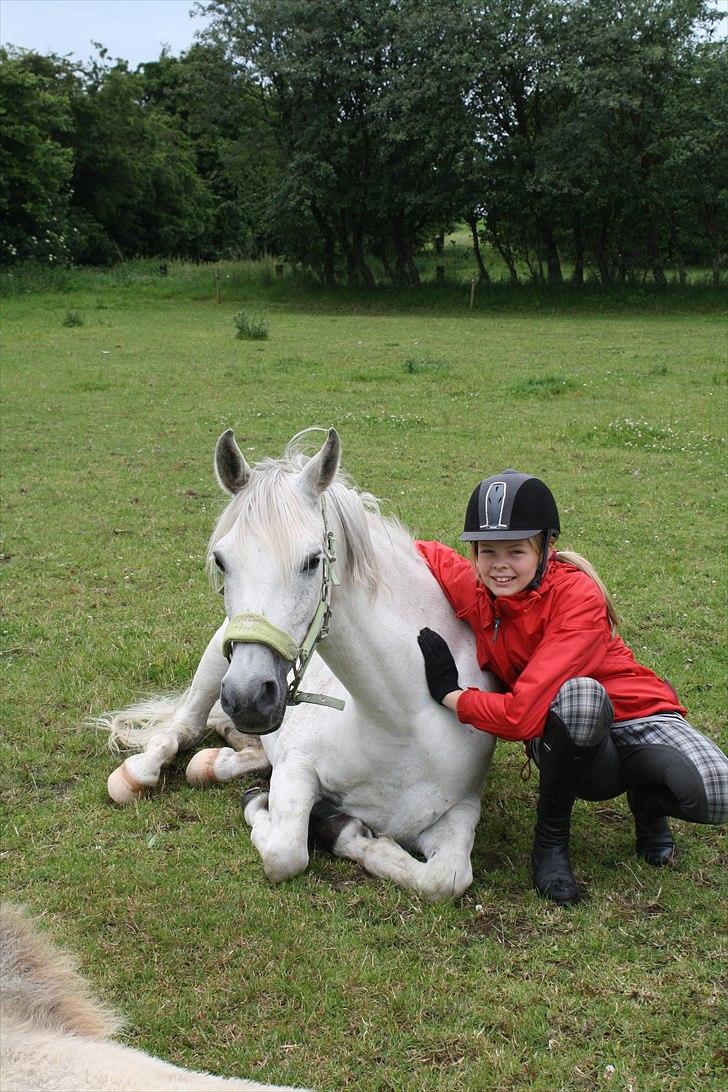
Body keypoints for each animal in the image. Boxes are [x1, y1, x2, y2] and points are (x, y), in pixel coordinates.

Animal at [102, 425, 497, 895]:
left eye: (312, 561)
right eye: (221, 560)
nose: (249, 698)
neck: (401, 721)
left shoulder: (461, 810)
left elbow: (444, 879)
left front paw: (340, 827)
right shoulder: (297, 768)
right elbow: (284, 853)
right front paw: (276, 812)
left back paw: (222, 757)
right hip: (216, 663)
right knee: (184, 727)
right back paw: (141, 771)